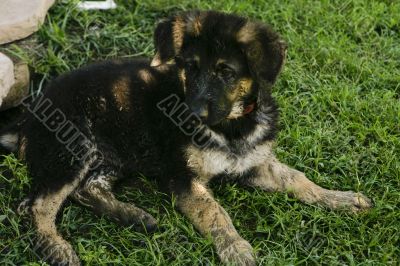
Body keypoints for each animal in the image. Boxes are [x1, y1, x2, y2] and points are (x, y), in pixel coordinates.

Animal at [0, 10, 372, 266]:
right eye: (190, 67)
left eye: (226, 72)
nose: (190, 114)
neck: (232, 126)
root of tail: (28, 117)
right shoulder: (185, 179)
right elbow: (215, 212)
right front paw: (236, 248)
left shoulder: (256, 163)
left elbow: (298, 179)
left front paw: (340, 199)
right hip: (73, 148)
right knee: (38, 205)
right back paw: (57, 248)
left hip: (115, 153)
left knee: (86, 189)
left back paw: (134, 216)